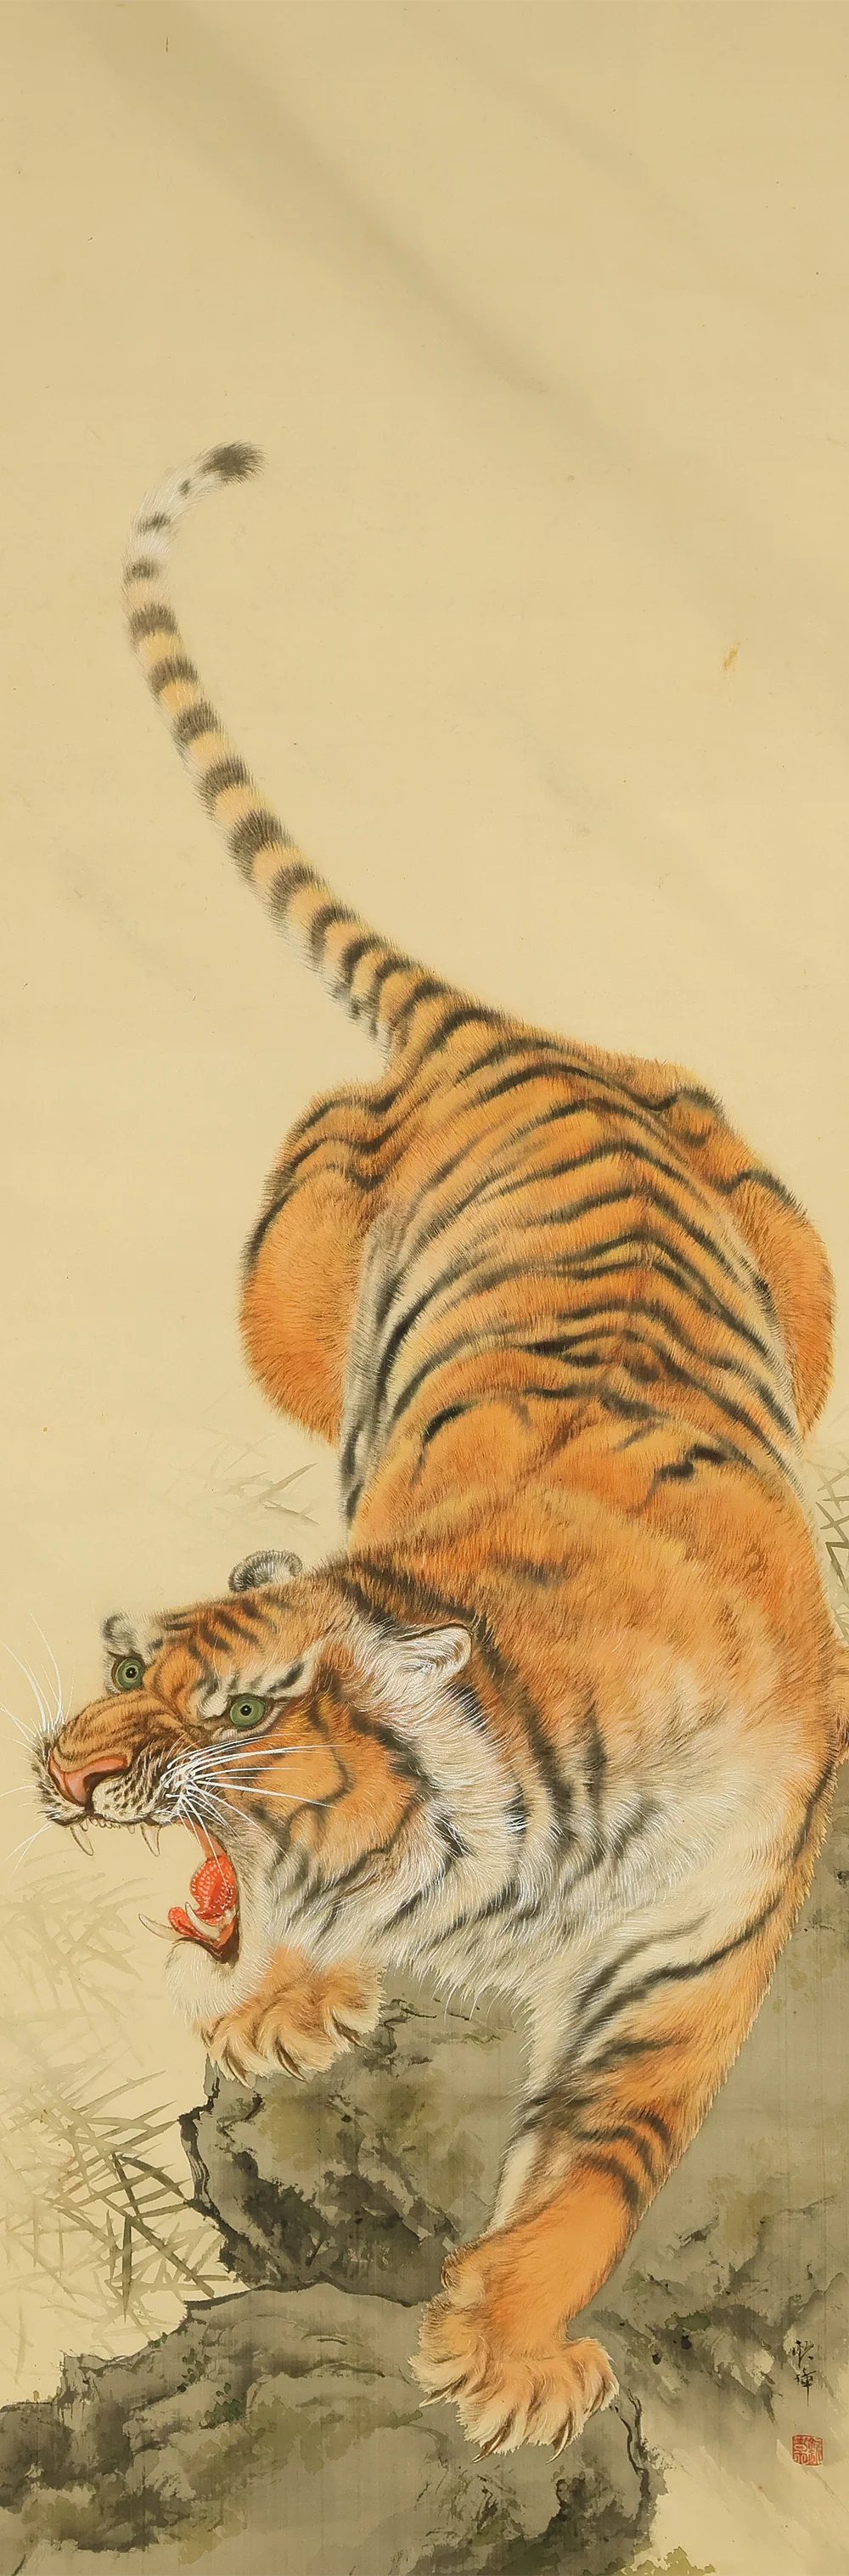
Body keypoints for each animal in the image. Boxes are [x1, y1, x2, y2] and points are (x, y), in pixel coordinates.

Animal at [39, 442, 847, 2461]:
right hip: (288, 1296)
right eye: (119, 1659)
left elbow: (596, 2175)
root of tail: (522, 1035)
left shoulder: (690, 1960)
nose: (53, 1770)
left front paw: (505, 2358)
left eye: (234, 1708)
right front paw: (286, 2011)